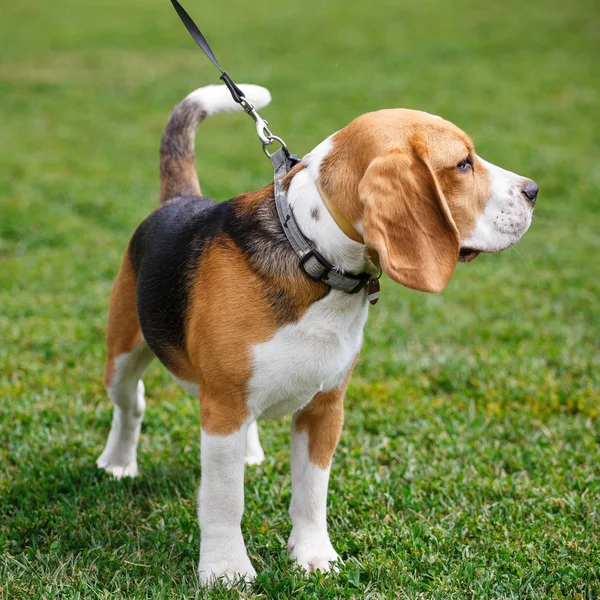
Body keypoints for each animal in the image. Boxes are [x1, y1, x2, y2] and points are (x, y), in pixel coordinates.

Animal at [96, 82, 536, 584]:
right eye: (463, 163)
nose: (533, 190)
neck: (312, 253)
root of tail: (178, 200)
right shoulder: (223, 408)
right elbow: (225, 501)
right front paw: (226, 570)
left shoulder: (325, 408)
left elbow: (311, 494)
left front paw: (313, 556)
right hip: (122, 357)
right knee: (131, 403)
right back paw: (118, 463)